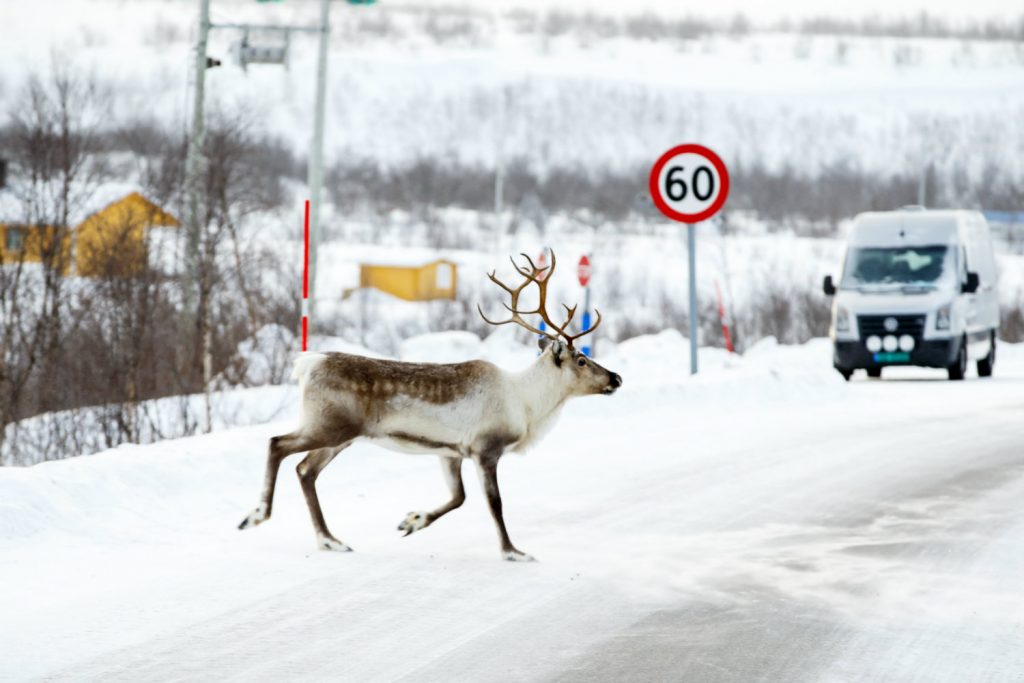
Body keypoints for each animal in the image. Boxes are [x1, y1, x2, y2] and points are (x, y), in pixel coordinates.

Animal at [237, 251, 622, 561]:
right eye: (582, 360)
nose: (616, 378)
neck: (527, 404)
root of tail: (307, 363)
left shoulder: (451, 452)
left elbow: (458, 497)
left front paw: (412, 521)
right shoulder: (486, 450)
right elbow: (494, 503)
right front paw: (513, 551)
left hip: (341, 436)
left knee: (306, 470)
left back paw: (330, 540)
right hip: (329, 426)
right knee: (278, 445)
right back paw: (256, 515)